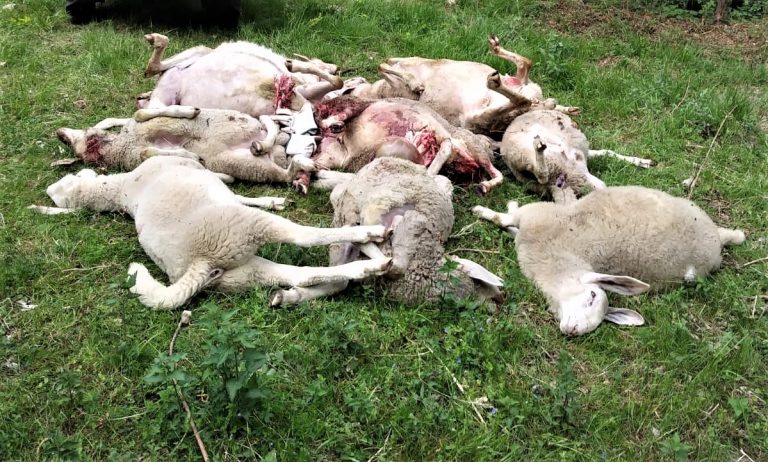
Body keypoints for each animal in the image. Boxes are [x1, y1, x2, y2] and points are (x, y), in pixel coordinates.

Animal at [31, 156, 393, 310]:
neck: (120, 189)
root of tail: (198, 264)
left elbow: (238, 191)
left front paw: (272, 198)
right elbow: (230, 185)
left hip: (242, 274)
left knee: (299, 275)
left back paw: (366, 266)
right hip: (245, 228)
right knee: (304, 237)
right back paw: (372, 240)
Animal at [55, 106, 315, 186]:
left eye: (88, 137)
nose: (59, 134)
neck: (122, 144)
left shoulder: (151, 123)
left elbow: (141, 113)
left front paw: (190, 112)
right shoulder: (140, 153)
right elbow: (150, 152)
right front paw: (189, 155)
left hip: (243, 124)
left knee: (270, 122)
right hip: (250, 166)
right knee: (284, 169)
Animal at [270, 157, 504, 307]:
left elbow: (339, 282)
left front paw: (289, 296)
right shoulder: (398, 218)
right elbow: (393, 261)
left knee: (341, 190)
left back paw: (323, 179)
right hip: (381, 196)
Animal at [472, 186, 745, 335]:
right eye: (592, 295)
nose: (574, 331)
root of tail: (719, 239)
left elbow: (504, 221)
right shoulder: (533, 217)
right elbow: (505, 221)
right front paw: (485, 209)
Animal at [500, 110, 654, 203]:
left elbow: (606, 152)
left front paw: (642, 162)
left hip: (573, 176)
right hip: (526, 154)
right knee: (541, 174)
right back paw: (538, 146)